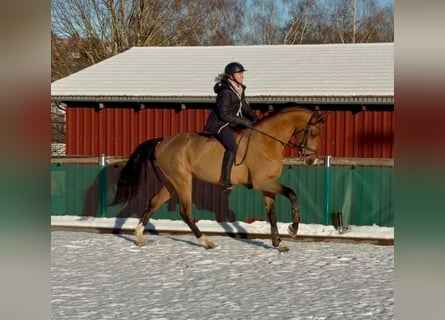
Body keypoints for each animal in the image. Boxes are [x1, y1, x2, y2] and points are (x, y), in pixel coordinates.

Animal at [110, 107, 326, 252]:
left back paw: (139, 237)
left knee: (152, 203)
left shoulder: (268, 185)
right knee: (185, 212)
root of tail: (162, 142)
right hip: (183, 182)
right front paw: (293, 229)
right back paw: (206, 242)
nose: (311, 160)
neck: (268, 140)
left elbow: (271, 214)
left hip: (170, 184)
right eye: (314, 132)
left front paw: (279, 243)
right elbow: (292, 193)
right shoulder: (262, 182)